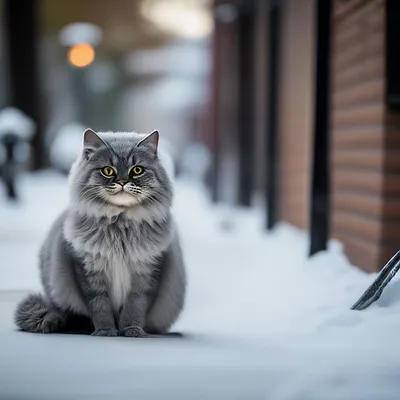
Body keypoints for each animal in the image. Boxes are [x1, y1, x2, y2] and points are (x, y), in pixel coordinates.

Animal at [14, 130, 186, 336]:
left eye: (137, 170)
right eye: (108, 171)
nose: (122, 182)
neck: (120, 225)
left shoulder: (145, 274)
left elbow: (134, 306)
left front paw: (132, 330)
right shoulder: (88, 272)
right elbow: (100, 307)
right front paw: (106, 331)